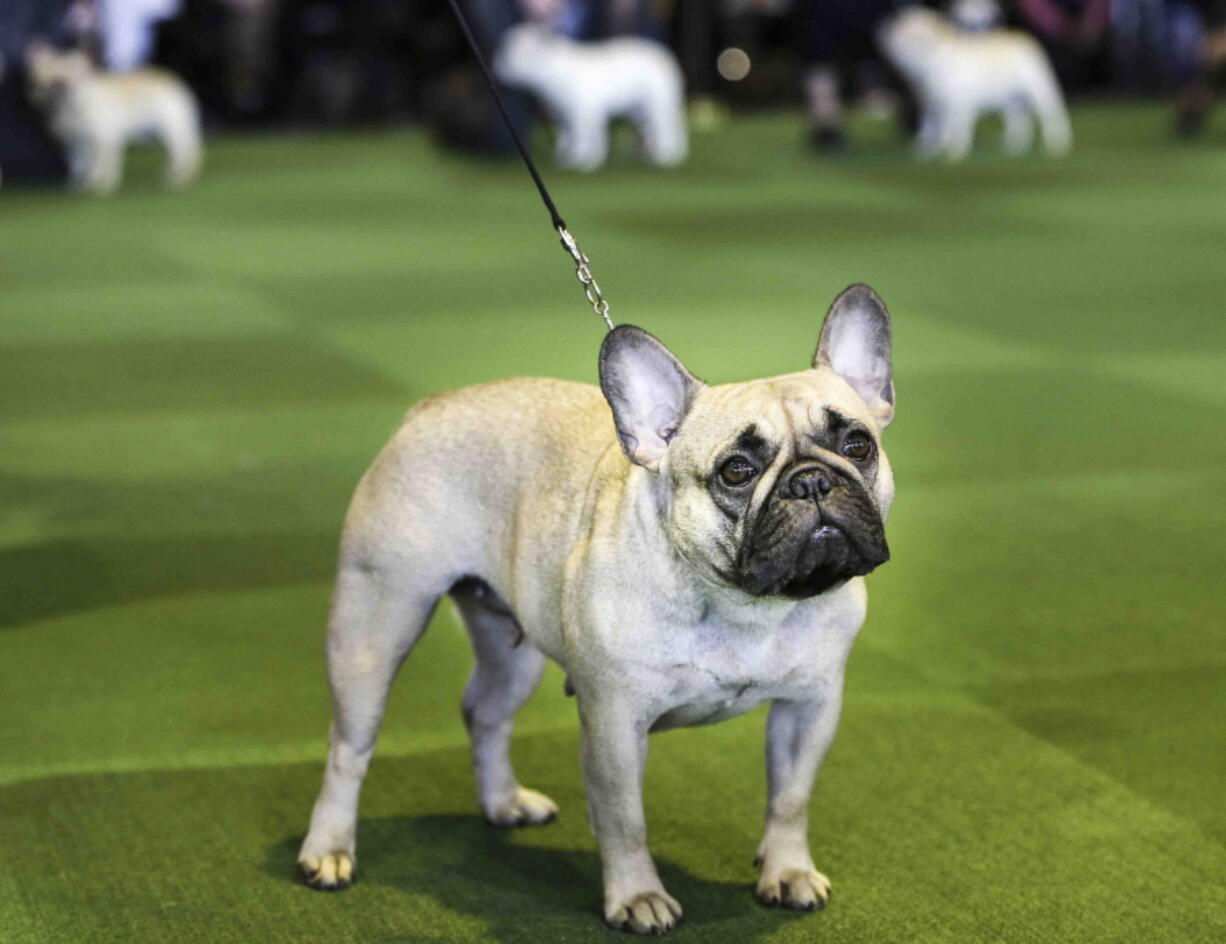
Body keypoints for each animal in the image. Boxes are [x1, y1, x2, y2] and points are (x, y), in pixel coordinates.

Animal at [25, 42, 202, 193]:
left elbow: (101, 165)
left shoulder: (102, 140)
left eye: (60, 84)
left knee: (184, 152)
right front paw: (79, 185)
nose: (42, 93)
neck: (71, 106)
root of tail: (171, 82)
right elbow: (79, 165)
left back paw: (179, 177)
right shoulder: (76, 144)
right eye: (37, 82)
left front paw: (100, 185)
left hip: (172, 129)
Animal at [495, 24, 691, 171]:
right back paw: (653, 153)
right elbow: (566, 137)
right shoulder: (563, 116)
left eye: (510, 56)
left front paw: (582, 160)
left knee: (664, 128)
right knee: (653, 128)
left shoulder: (582, 113)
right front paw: (565, 158)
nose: (497, 64)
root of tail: (664, 56)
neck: (553, 71)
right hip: (639, 110)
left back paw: (666, 155)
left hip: (656, 104)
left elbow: (583, 137)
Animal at [877, 6, 1069, 159]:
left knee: (1052, 115)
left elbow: (954, 128)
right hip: (1011, 101)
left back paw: (1057, 145)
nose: (885, 29)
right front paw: (927, 151)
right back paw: (1014, 148)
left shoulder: (956, 102)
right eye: (902, 36)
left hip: (1039, 89)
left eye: (919, 38)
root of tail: (1024, 37)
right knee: (1020, 121)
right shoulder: (933, 104)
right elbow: (931, 128)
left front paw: (953, 152)